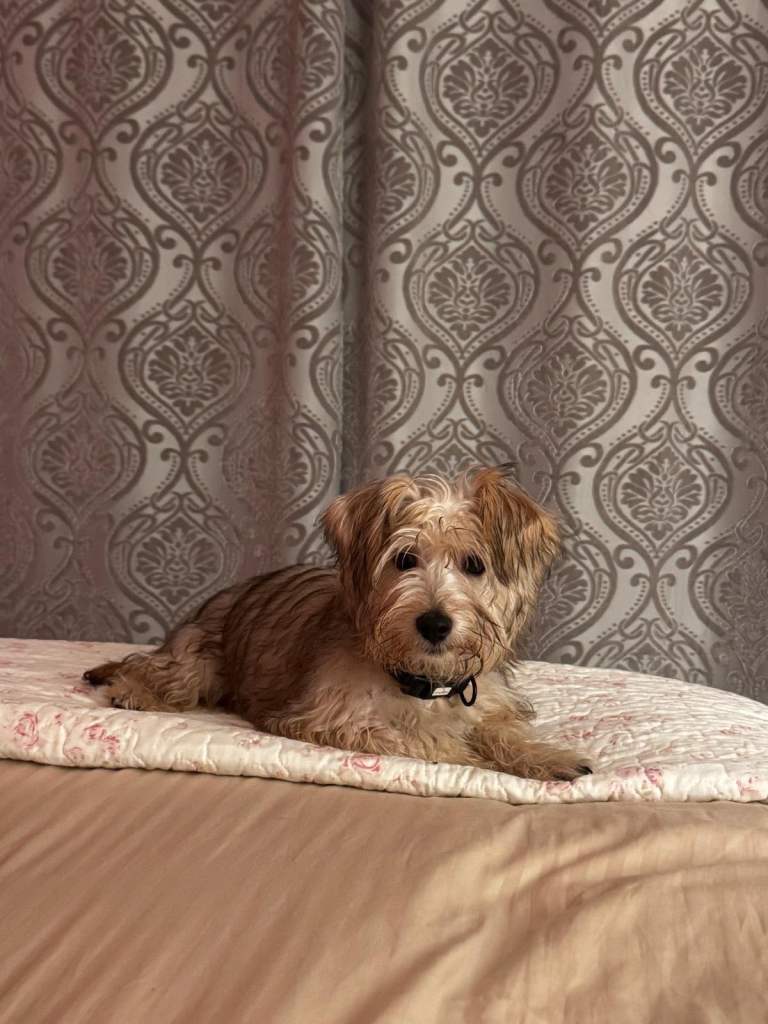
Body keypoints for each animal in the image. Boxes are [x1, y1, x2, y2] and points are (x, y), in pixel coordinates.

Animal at [84, 467, 591, 781]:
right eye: (404, 560)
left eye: (474, 565)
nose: (434, 624)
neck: (421, 682)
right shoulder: (331, 720)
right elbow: (422, 739)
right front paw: (466, 752)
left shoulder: (491, 706)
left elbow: (500, 730)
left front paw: (545, 756)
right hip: (196, 664)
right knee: (153, 670)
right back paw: (132, 689)